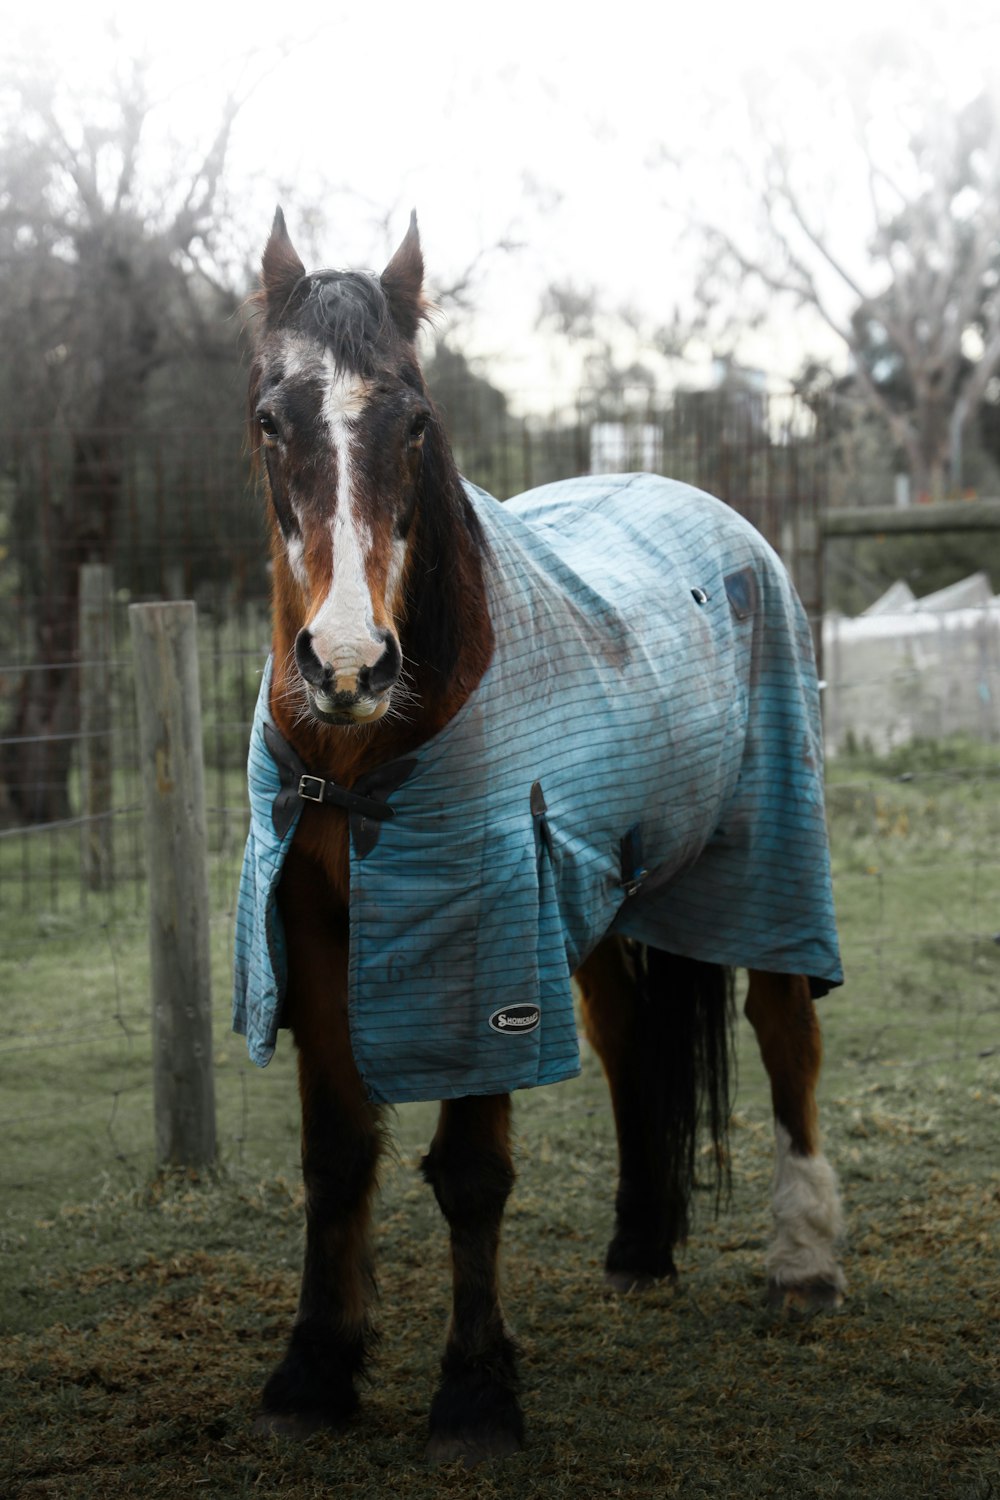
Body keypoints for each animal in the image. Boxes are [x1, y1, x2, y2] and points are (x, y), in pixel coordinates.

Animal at [232, 211, 845, 1464]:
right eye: (272, 418)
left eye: (415, 421)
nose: (349, 665)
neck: (358, 761)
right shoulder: (312, 928)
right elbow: (336, 1155)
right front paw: (313, 1372)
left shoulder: (485, 930)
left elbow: (470, 1171)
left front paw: (474, 1398)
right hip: (611, 897)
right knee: (627, 1041)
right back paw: (640, 1249)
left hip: (769, 853)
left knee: (782, 1031)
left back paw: (804, 1265)